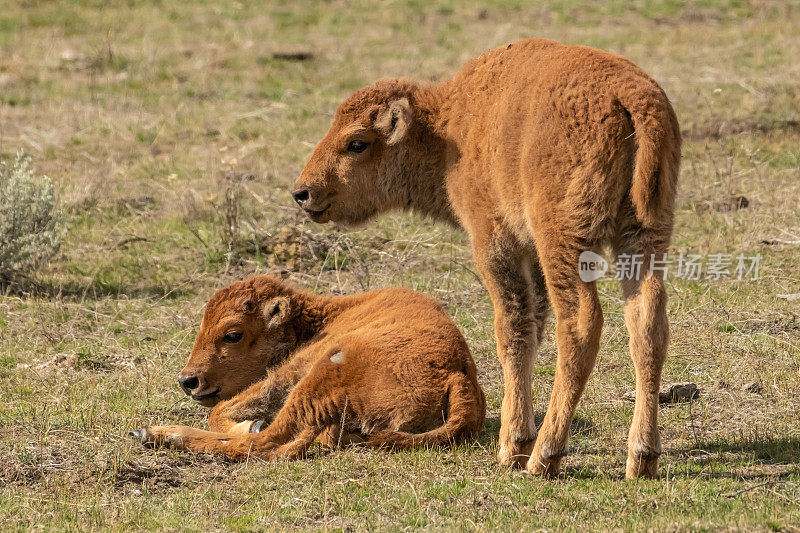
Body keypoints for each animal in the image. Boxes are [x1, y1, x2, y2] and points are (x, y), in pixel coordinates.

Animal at [131, 274, 484, 458]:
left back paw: (157, 434)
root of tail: (457, 373)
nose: (187, 380)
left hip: (319, 377)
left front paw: (250, 424)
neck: (318, 320)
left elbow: (221, 412)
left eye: (232, 334)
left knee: (264, 442)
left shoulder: (289, 372)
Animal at [294, 38, 680, 478]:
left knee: (580, 324)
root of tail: (631, 98)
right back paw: (642, 458)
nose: (302, 193)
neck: (448, 128)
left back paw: (545, 456)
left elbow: (512, 331)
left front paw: (513, 446)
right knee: (646, 322)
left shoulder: (497, 245)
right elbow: (532, 328)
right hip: (644, 237)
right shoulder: (530, 255)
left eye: (356, 143)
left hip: (563, 240)